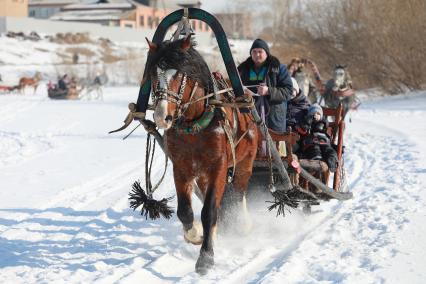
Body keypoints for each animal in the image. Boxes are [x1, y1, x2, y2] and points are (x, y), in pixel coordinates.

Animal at [146, 35, 258, 272]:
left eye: (180, 74)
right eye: (152, 74)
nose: (162, 116)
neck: (195, 125)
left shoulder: (219, 166)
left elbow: (209, 212)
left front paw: (206, 257)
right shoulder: (181, 168)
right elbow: (184, 211)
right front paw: (196, 235)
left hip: (245, 163)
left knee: (239, 193)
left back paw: (242, 224)